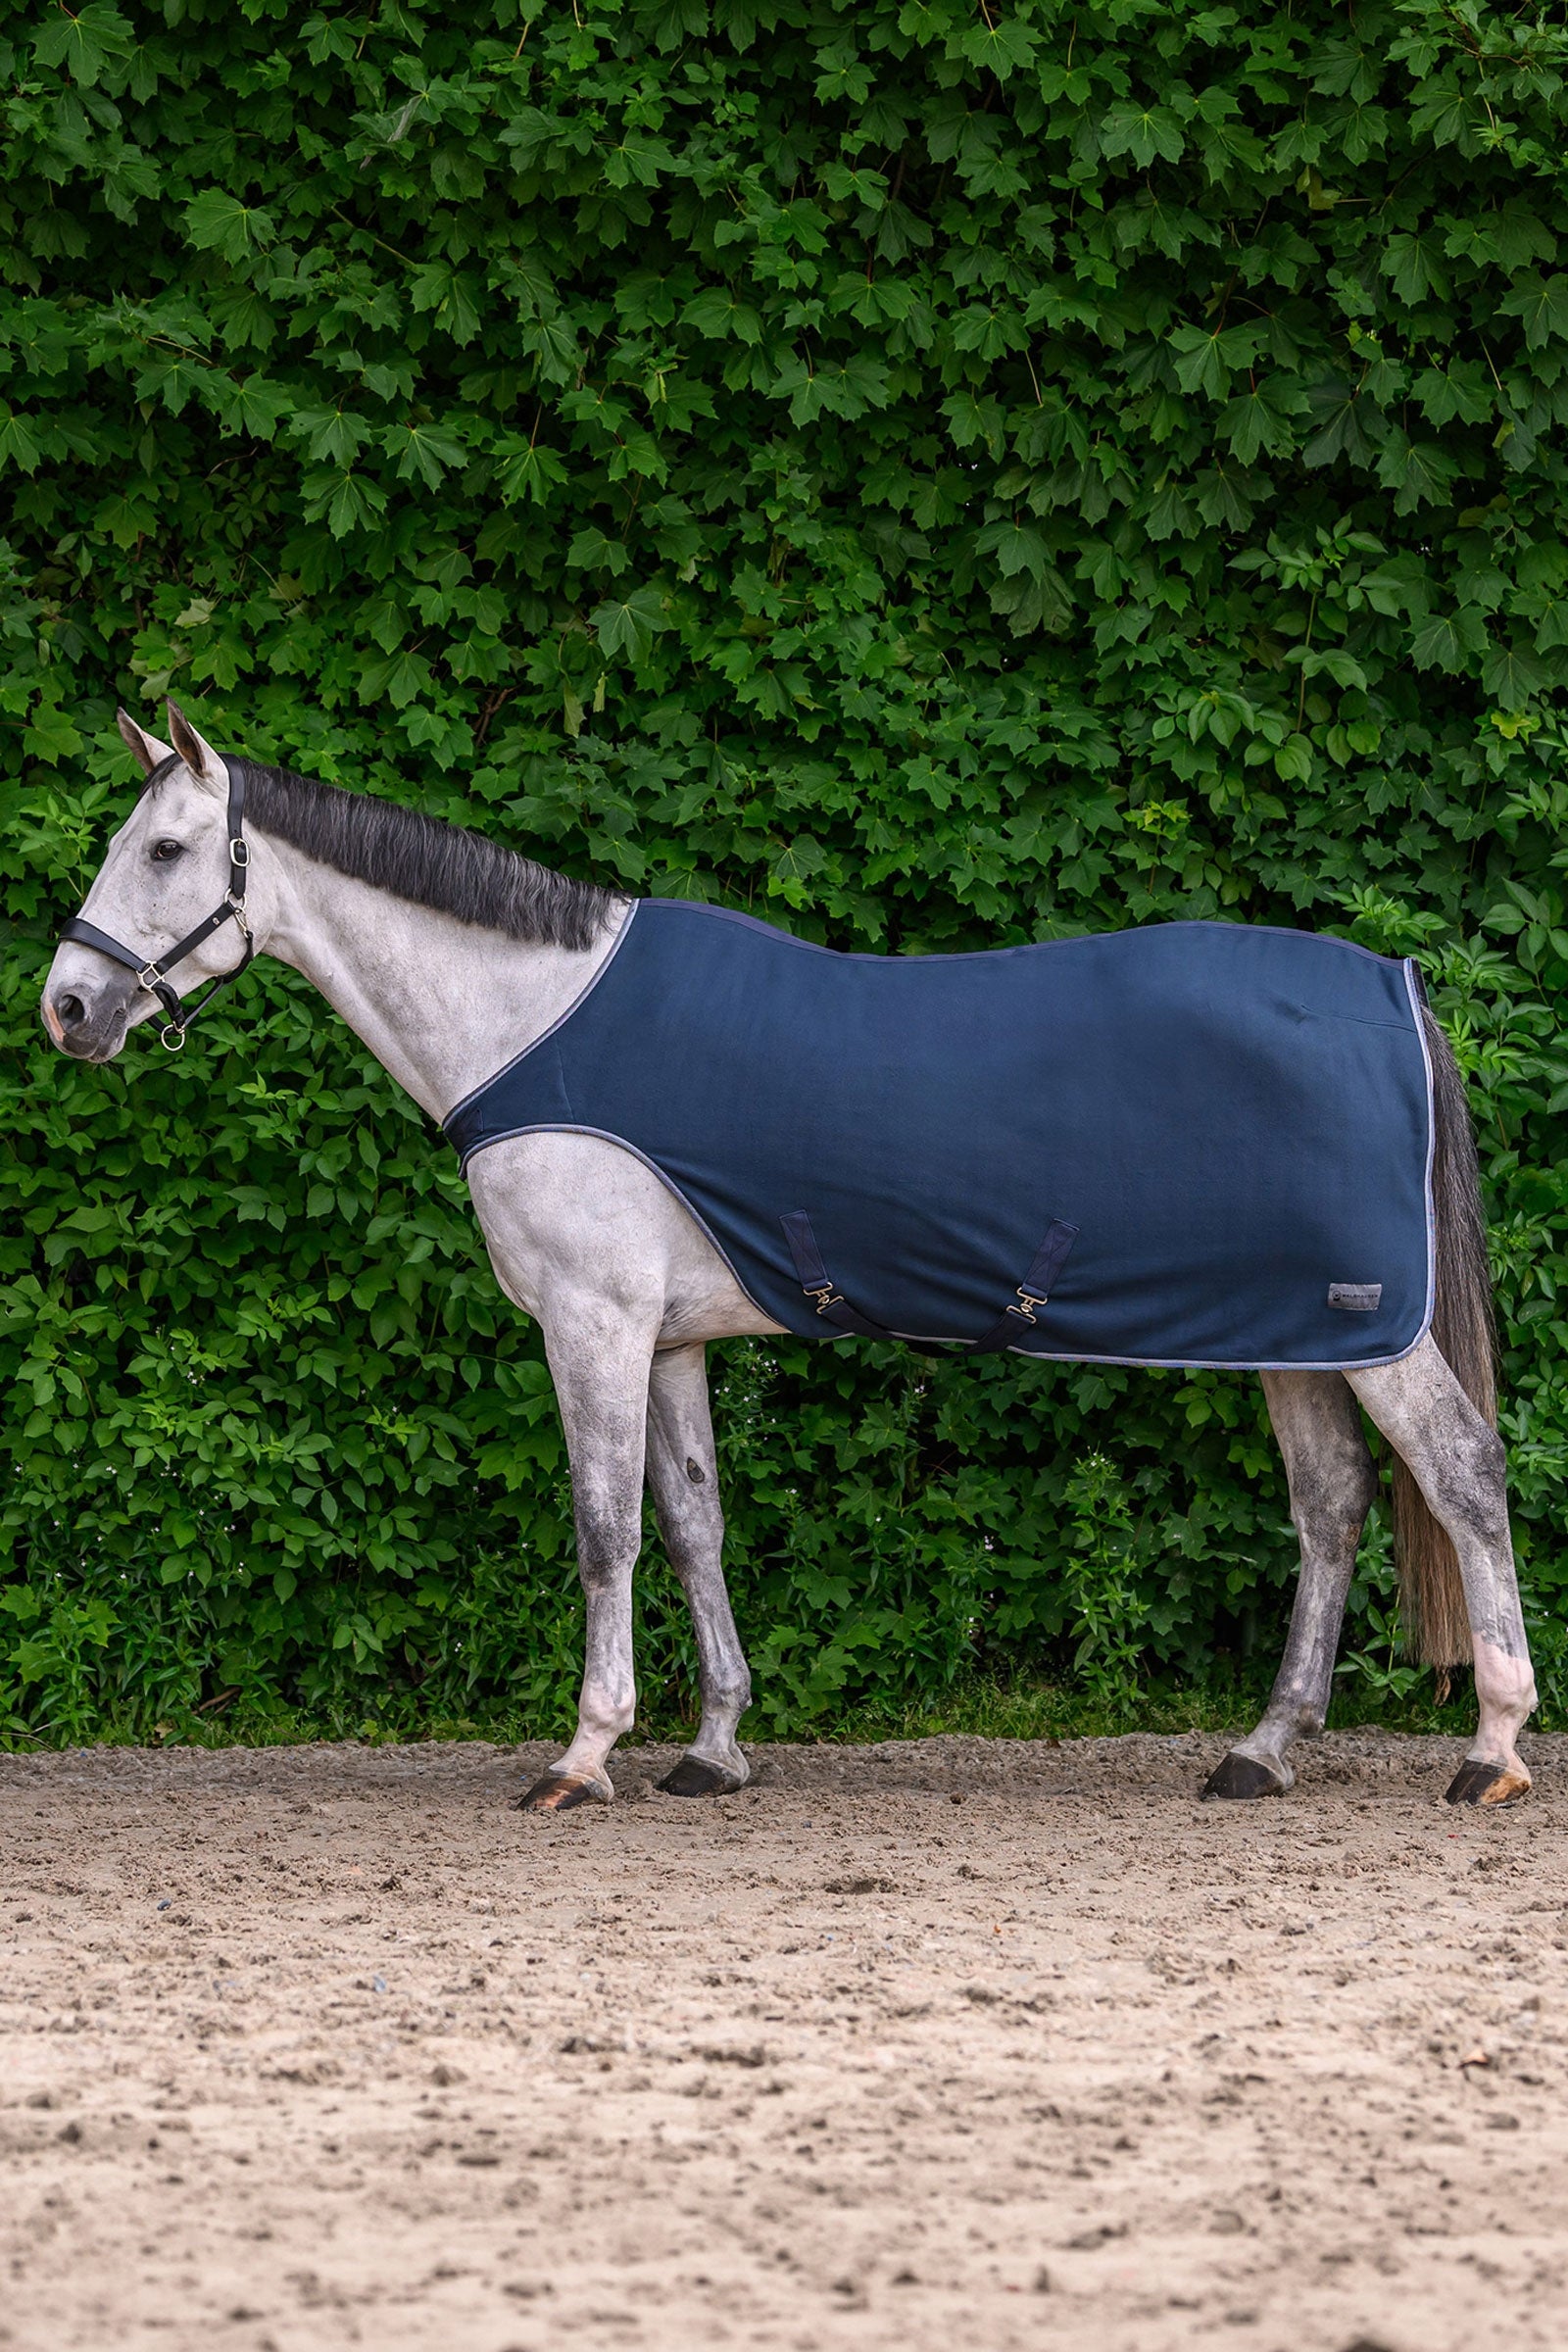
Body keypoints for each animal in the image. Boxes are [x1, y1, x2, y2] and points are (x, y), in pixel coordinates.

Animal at [39, 701, 1537, 1811]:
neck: (531, 1020)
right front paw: (710, 1750)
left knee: (1461, 1476)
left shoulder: (590, 1322)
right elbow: (691, 1524)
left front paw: (583, 1757)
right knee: (1332, 1508)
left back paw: (1492, 1750)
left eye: (164, 848)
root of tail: (1395, 985)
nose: (67, 1009)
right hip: (1294, 1336)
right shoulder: (668, 1336)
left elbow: (602, 1529)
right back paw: (1262, 1752)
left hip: (1374, 1331)